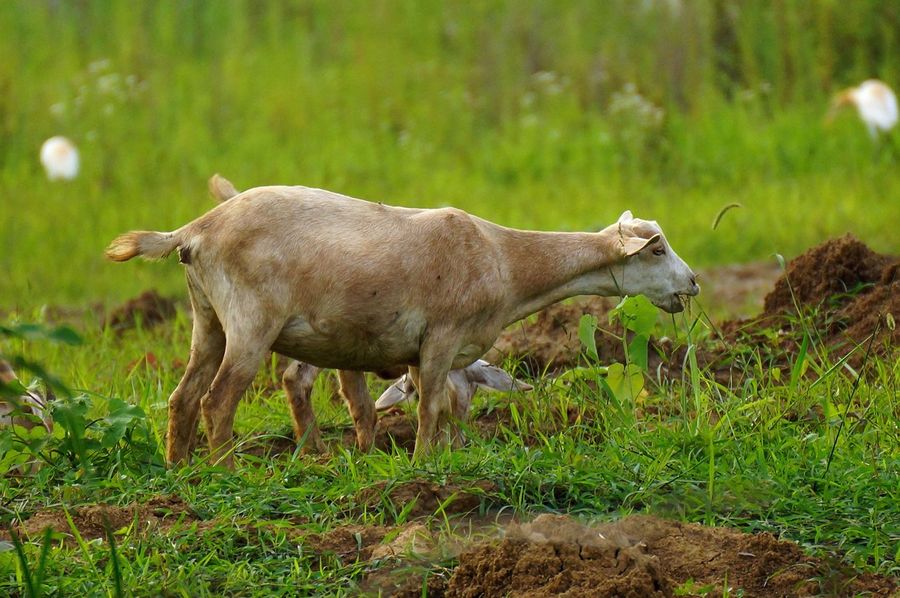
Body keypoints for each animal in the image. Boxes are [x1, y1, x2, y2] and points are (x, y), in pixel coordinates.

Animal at [103, 180, 696, 466]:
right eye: (656, 248)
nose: (691, 285)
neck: (506, 262)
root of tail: (193, 231)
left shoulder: (433, 353)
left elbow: (439, 406)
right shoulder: (440, 338)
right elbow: (431, 406)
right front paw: (422, 466)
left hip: (208, 317)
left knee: (182, 397)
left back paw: (181, 472)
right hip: (250, 322)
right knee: (217, 399)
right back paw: (225, 470)